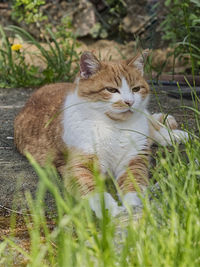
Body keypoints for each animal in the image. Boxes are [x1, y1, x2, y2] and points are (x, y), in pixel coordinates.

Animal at [14, 50, 188, 220]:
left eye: (136, 89)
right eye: (111, 90)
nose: (129, 102)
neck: (114, 127)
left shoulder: (133, 160)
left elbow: (134, 184)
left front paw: (133, 207)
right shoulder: (78, 167)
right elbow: (94, 191)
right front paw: (110, 210)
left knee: (152, 126)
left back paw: (174, 134)